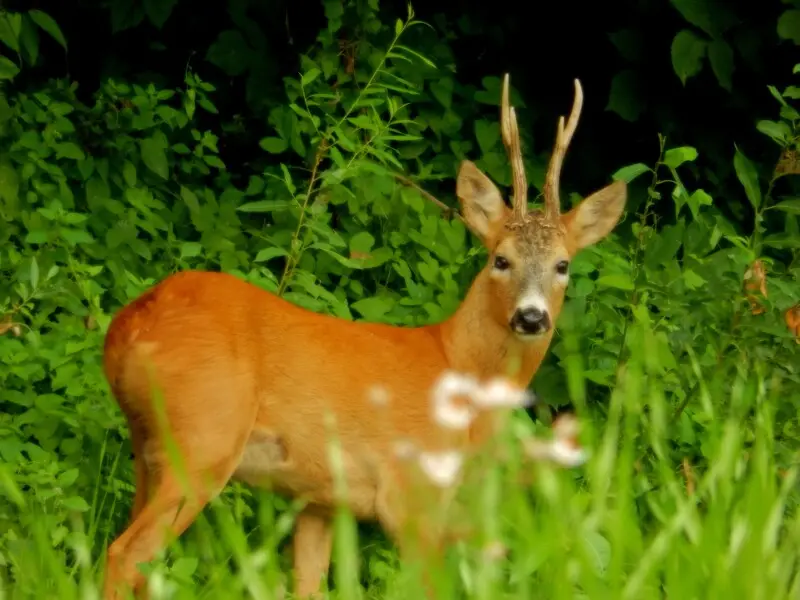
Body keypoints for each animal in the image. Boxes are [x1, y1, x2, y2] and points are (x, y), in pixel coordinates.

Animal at [98, 75, 624, 600]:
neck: (456, 366)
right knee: (125, 553)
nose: (532, 317)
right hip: (204, 437)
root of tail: (129, 323)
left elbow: (309, 586)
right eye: (501, 259)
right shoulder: (411, 496)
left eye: (563, 265)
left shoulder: (321, 500)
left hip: (148, 445)